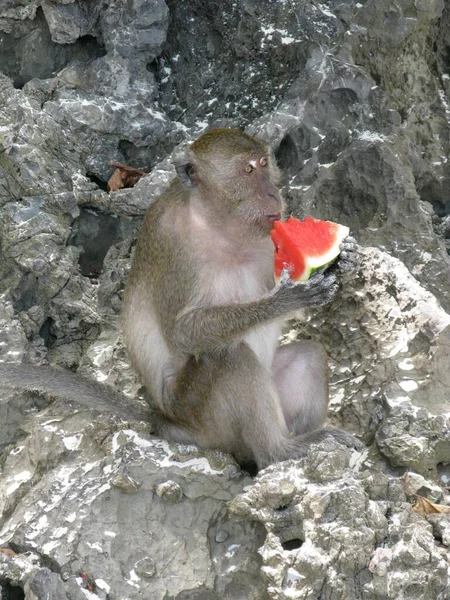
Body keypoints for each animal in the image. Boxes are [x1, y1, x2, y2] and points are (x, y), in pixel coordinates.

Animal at [0, 129, 362, 472]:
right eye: (246, 171)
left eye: (263, 164)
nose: (274, 192)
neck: (218, 226)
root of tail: (167, 420)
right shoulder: (172, 242)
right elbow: (183, 333)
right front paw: (285, 299)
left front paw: (342, 260)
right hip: (202, 417)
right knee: (229, 355)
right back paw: (280, 451)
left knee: (309, 356)